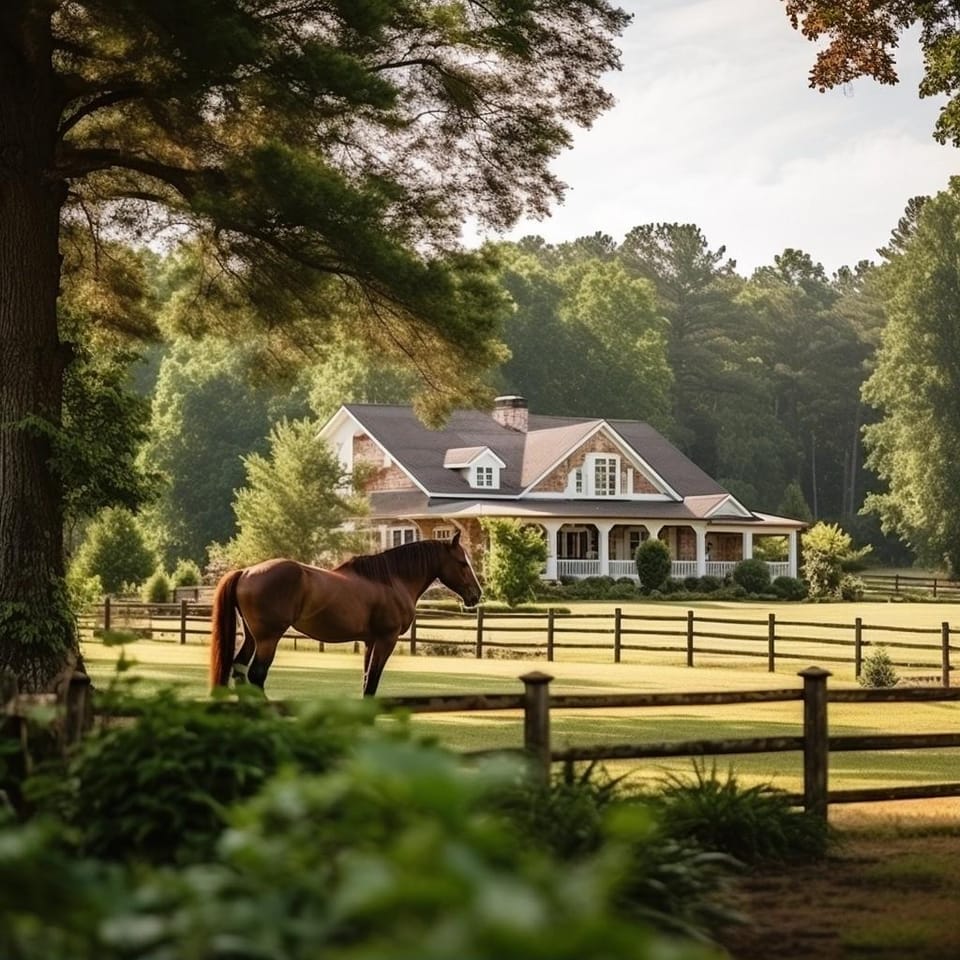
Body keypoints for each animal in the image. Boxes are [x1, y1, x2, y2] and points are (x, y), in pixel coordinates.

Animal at [209, 532, 482, 696]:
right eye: (462, 563)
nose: (476, 595)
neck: (391, 580)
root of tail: (246, 572)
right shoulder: (386, 639)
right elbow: (373, 680)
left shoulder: (370, 641)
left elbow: (366, 679)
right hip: (268, 639)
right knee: (256, 675)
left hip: (252, 637)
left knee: (239, 669)